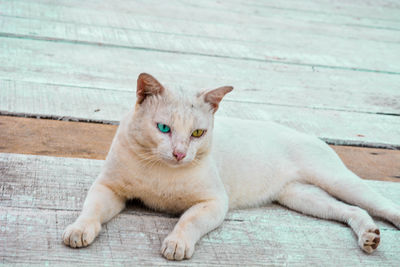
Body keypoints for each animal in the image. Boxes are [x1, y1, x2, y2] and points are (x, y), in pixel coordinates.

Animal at [62, 73, 400, 262]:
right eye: (163, 128)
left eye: (198, 133)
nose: (180, 153)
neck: (161, 170)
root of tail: (306, 133)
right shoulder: (108, 187)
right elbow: (91, 210)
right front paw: (79, 230)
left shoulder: (214, 202)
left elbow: (188, 221)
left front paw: (177, 243)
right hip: (302, 197)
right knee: (352, 211)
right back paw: (369, 236)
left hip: (338, 180)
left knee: (378, 204)